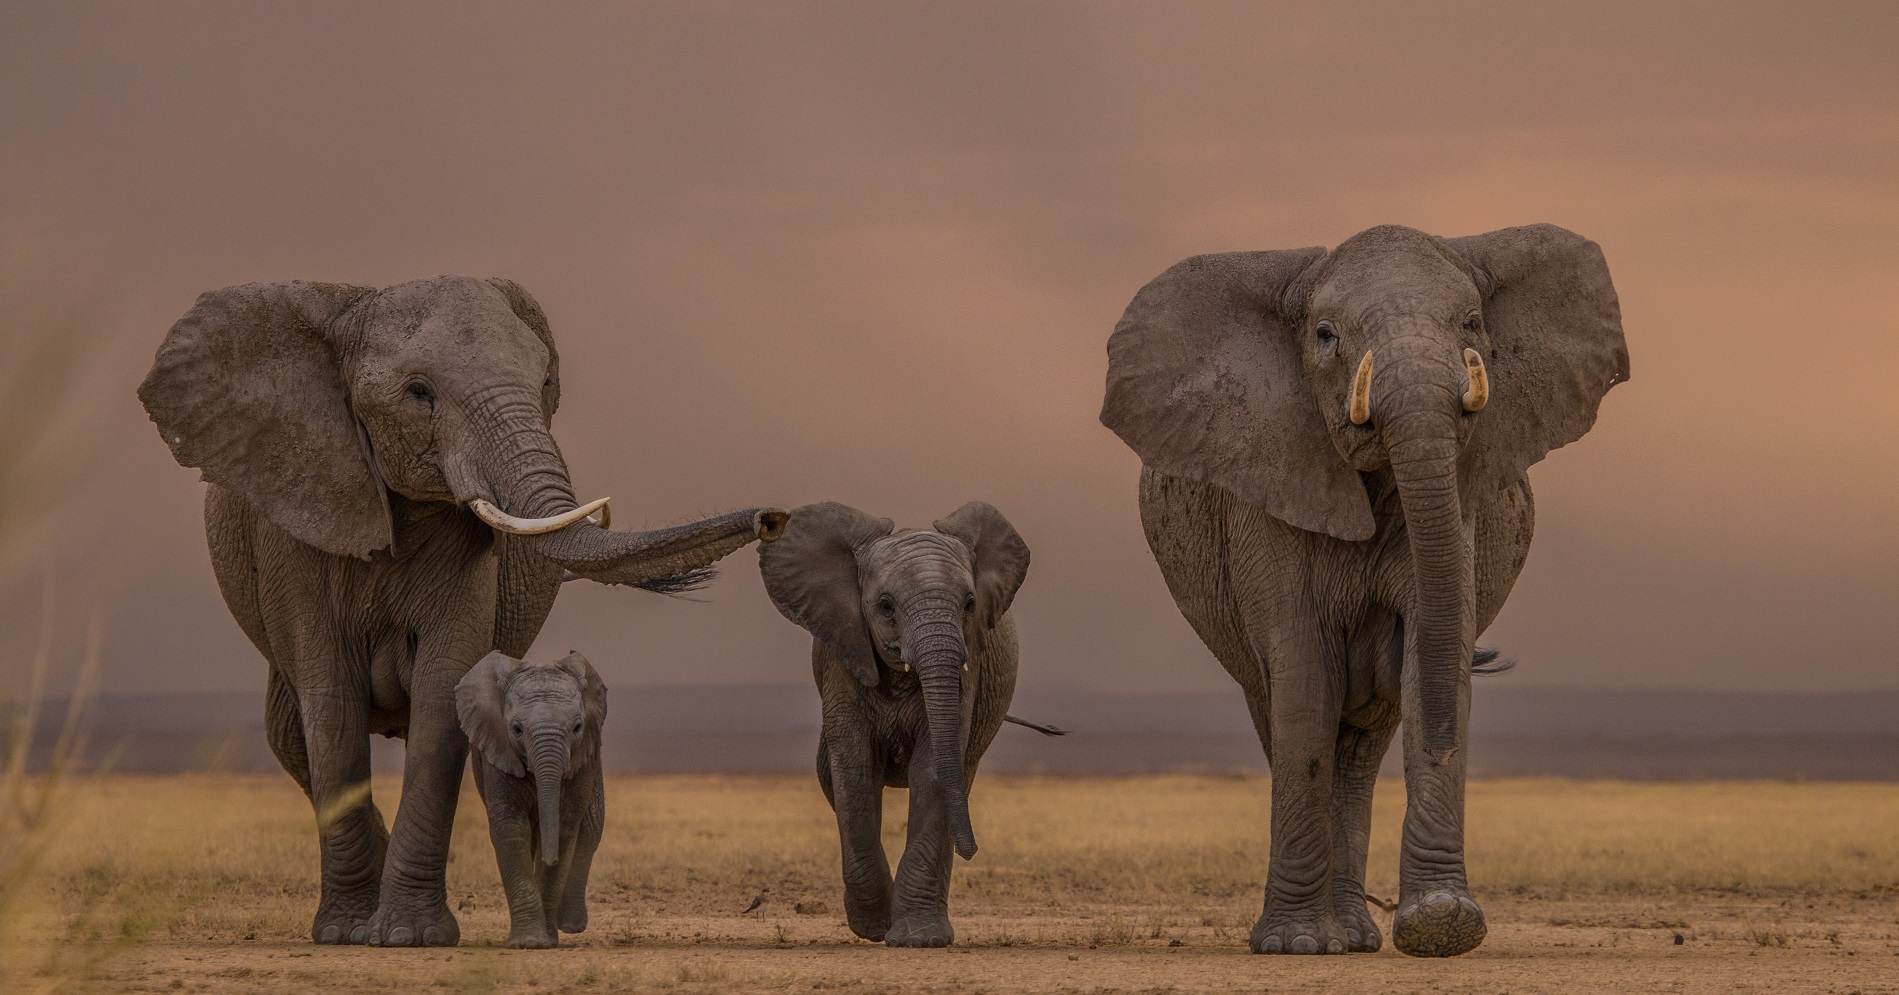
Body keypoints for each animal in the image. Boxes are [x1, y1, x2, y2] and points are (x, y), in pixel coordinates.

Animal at [457, 649, 605, 949]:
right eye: (516, 729)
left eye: (577, 727)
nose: (551, 860)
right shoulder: (497, 750)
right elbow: (510, 829)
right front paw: (529, 942)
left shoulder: (583, 760)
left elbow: (566, 828)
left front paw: (545, 940)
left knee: (590, 832)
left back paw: (570, 925)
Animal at [758, 501, 1030, 947]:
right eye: (885, 606)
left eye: (970, 604)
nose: (973, 851)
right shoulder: (843, 654)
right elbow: (854, 767)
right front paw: (873, 928)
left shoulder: (969, 665)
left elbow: (934, 766)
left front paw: (919, 939)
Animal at [1100, 224, 1627, 957]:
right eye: (1325, 336)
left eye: (1472, 323)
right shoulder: (1266, 487)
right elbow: (1303, 676)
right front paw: (1294, 945)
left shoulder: (1460, 501)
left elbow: (1430, 653)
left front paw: (1441, 924)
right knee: (1286, 714)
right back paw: (1324, 936)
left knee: (1364, 745)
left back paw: (1352, 935)